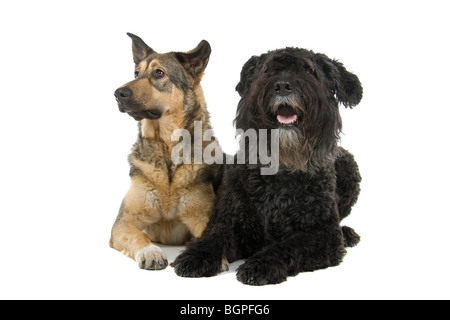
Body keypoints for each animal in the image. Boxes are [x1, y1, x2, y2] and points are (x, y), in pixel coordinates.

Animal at [110, 33, 221, 270]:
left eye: (158, 73)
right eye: (136, 73)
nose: (117, 93)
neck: (166, 148)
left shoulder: (201, 216)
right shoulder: (124, 222)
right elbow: (139, 236)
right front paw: (150, 251)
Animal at [171, 47, 364, 284]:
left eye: (309, 70)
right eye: (267, 70)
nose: (282, 85)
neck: (282, 166)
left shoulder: (322, 234)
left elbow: (289, 246)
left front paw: (262, 264)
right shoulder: (231, 221)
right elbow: (215, 235)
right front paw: (197, 255)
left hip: (348, 166)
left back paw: (347, 234)